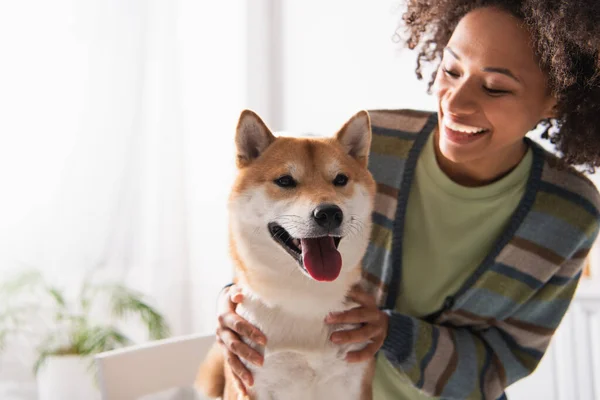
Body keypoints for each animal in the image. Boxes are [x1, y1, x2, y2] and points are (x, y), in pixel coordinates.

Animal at [197, 109, 376, 400]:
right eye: (285, 181)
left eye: (340, 180)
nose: (329, 213)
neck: (304, 300)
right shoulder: (253, 385)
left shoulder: (354, 383)